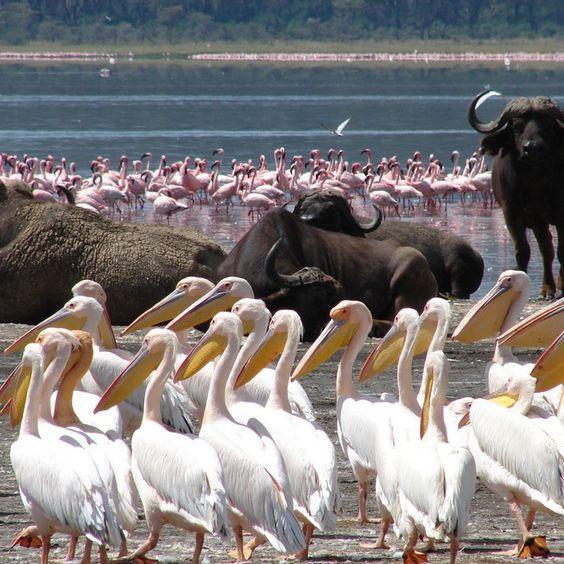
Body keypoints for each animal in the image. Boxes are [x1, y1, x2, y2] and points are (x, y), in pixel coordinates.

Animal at [468, 89, 564, 300]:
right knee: (545, 247)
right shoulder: (514, 213)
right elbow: (526, 250)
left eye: (547, 125)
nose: (533, 148)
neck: (536, 183)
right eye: (518, 126)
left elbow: (562, 250)